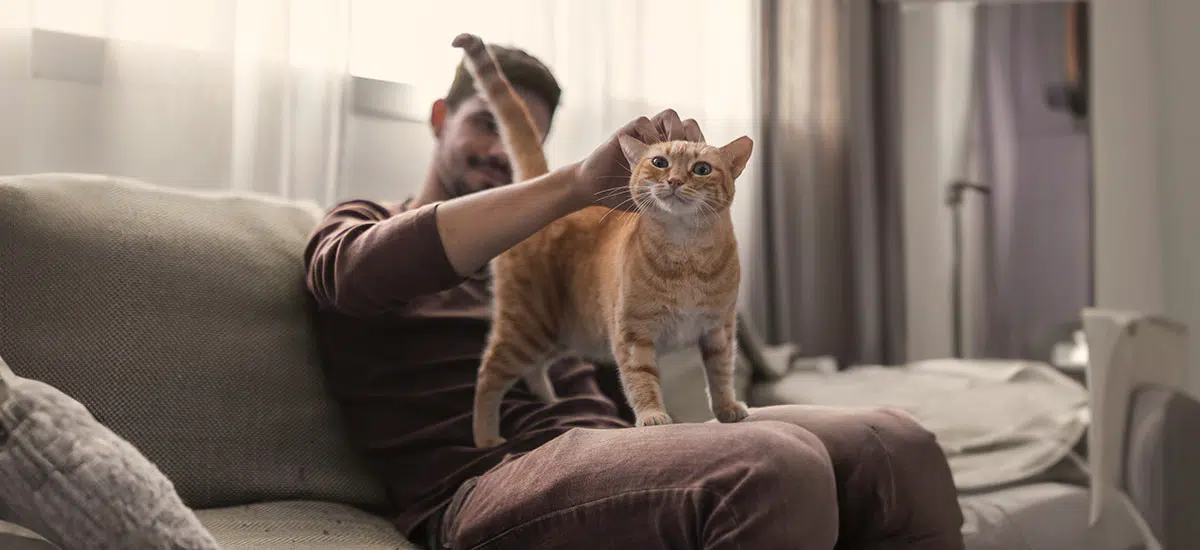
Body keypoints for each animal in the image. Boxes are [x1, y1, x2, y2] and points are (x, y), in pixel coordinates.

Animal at [453, 33, 753, 446]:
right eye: (659, 162)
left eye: (702, 169)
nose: (675, 181)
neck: (687, 253)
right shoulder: (633, 336)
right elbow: (641, 380)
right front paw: (653, 417)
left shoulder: (719, 330)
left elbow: (721, 375)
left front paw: (727, 409)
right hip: (527, 324)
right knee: (489, 374)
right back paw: (486, 437)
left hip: (560, 333)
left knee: (533, 369)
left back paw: (549, 400)